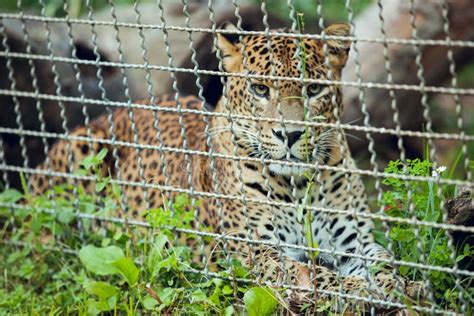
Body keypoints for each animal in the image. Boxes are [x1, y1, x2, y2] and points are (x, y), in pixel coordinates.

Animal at [30, 23, 422, 312]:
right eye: (260, 89)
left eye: (313, 90)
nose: (290, 134)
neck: (297, 188)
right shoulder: (256, 253)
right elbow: (315, 276)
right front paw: (367, 291)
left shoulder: (355, 239)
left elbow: (385, 260)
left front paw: (404, 286)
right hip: (82, 153)